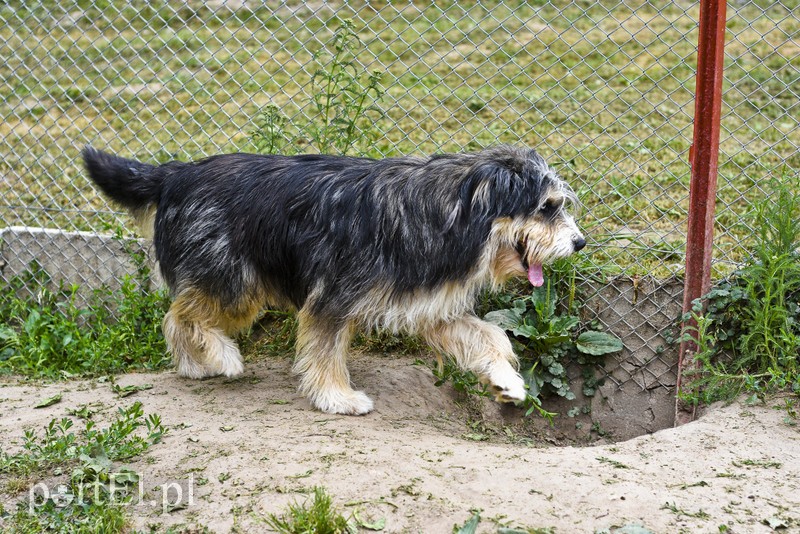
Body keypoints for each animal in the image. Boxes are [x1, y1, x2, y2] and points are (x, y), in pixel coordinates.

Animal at [84, 146, 584, 414]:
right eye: (546, 207)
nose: (579, 242)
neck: (452, 212)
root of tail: (177, 172)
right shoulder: (332, 298)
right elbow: (325, 351)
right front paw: (337, 398)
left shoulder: (431, 305)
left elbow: (491, 336)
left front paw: (507, 382)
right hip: (233, 279)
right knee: (180, 315)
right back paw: (219, 357)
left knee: (176, 316)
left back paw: (194, 364)